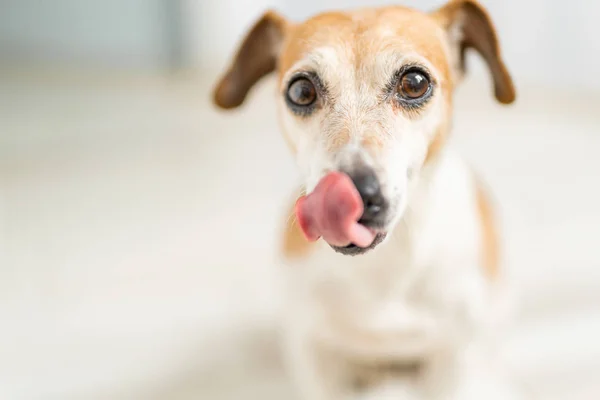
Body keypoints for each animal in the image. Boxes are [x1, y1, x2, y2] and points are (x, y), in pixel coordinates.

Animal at [213, 1, 524, 398]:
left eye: (415, 83)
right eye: (301, 91)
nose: (354, 196)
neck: (382, 269)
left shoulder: (454, 358)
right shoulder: (311, 352)